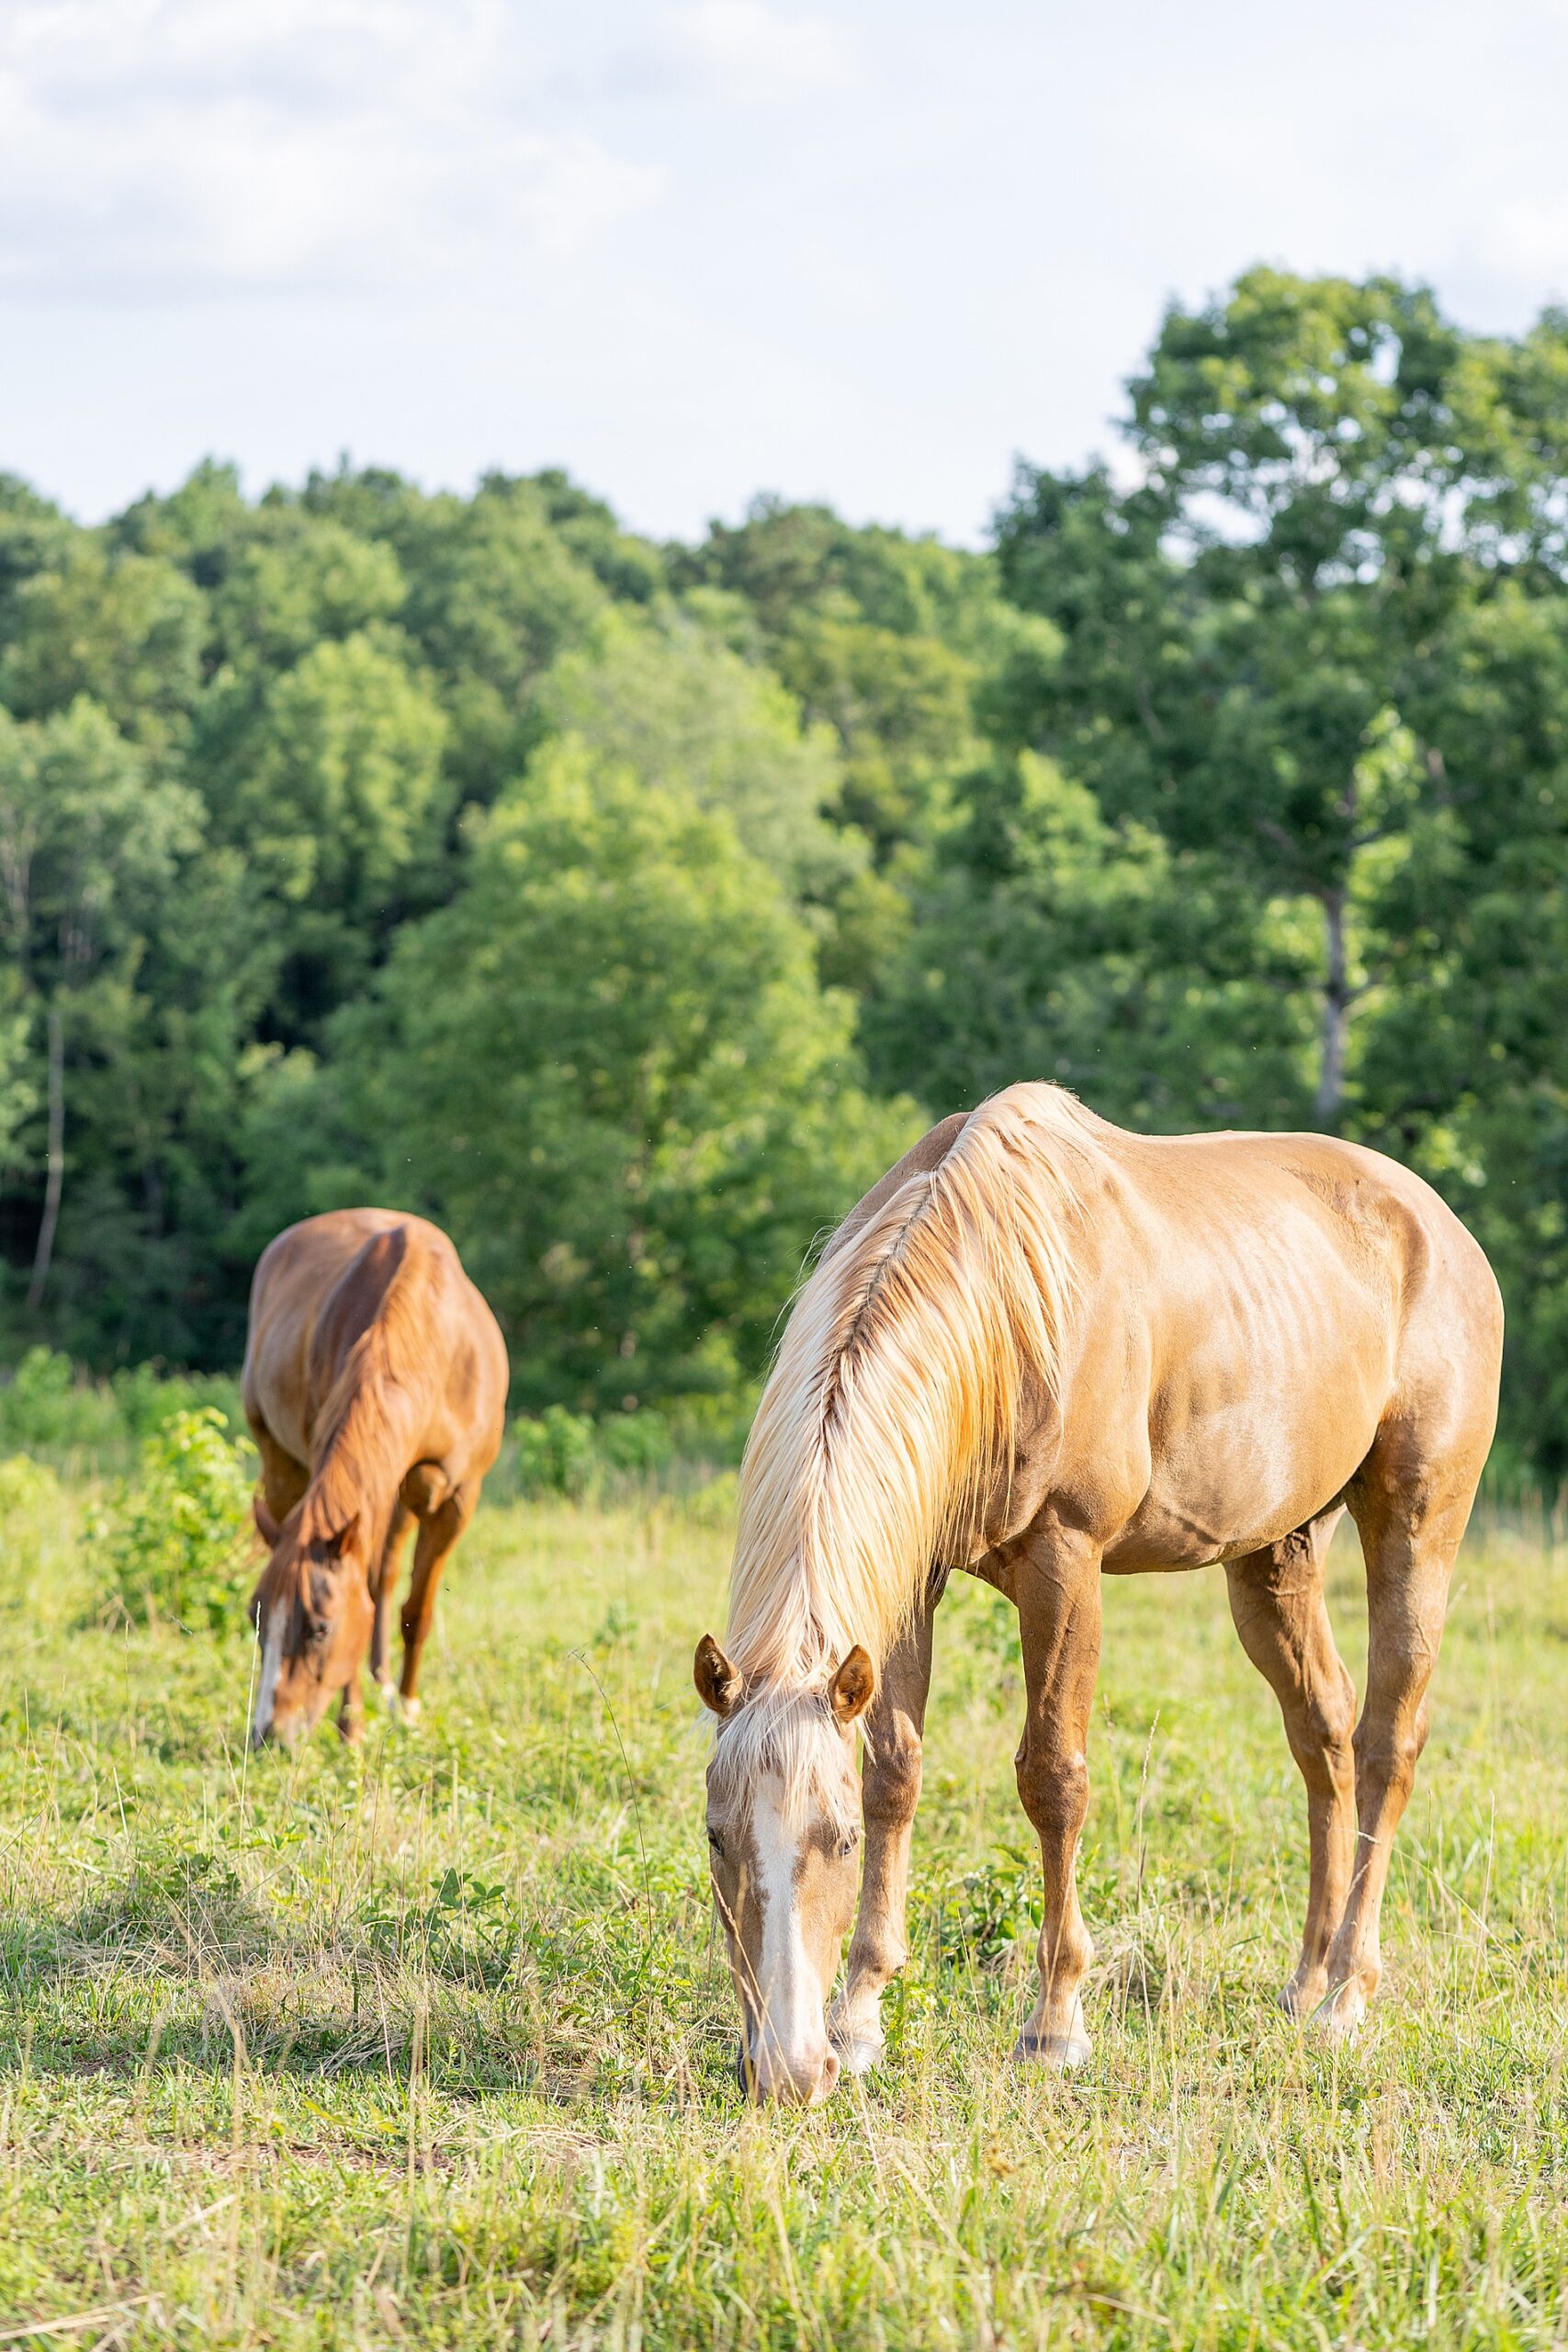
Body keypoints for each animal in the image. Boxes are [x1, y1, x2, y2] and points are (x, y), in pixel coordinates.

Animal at [243, 1209, 509, 1748]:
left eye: (320, 1628)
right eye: (255, 1620)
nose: (268, 1735)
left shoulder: (456, 1499)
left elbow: (417, 1608)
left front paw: (406, 1707)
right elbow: (366, 1594)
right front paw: (352, 1726)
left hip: (407, 1495)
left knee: (387, 1577)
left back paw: (387, 1685)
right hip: (284, 1468)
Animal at [694, 1084, 1503, 2105]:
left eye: (832, 1841)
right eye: (717, 1837)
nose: (785, 2073)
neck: (1003, 1309)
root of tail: (1438, 1224)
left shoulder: (1065, 1563)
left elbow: (1053, 1778)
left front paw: (1054, 2024)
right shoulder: (912, 1581)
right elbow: (895, 1773)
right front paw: (860, 2014)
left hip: (1416, 1524)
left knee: (1388, 1740)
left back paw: (1345, 2000)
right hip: (1274, 1558)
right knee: (1323, 1733)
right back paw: (1305, 1982)